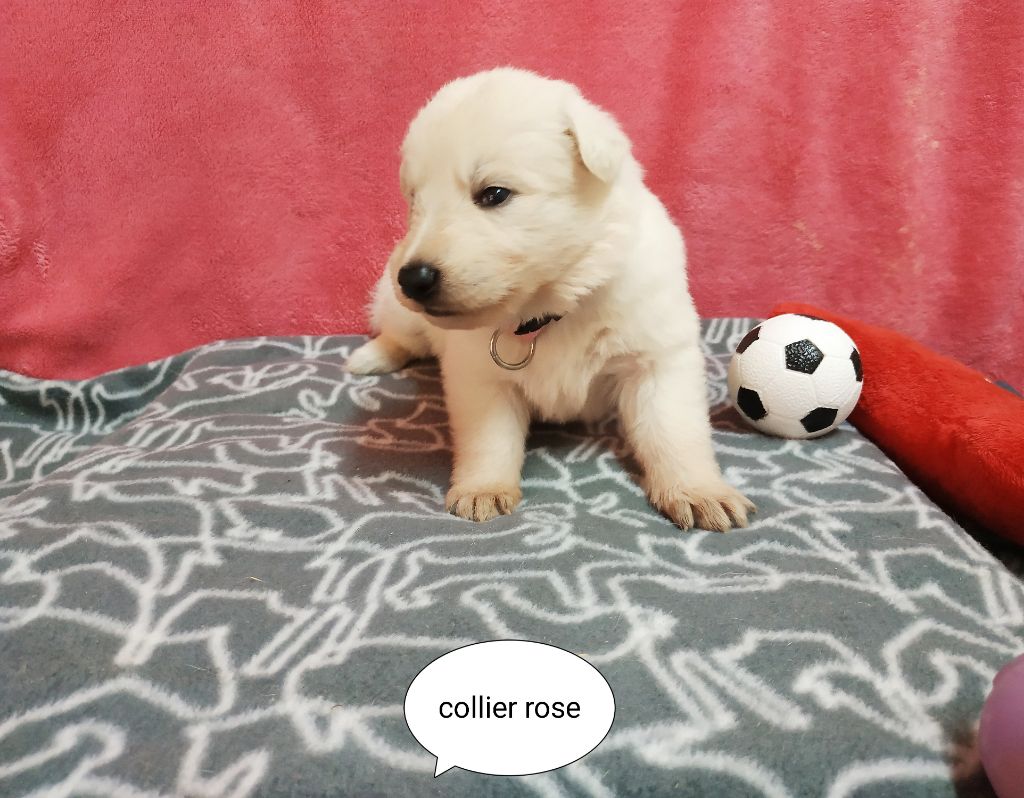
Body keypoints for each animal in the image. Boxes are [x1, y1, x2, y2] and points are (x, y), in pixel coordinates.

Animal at [346, 68, 754, 532]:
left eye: (494, 194)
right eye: (414, 199)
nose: (413, 278)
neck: (550, 308)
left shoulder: (657, 357)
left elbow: (673, 431)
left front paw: (699, 491)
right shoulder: (478, 376)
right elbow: (489, 438)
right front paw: (483, 488)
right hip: (397, 306)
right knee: (399, 335)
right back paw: (370, 356)